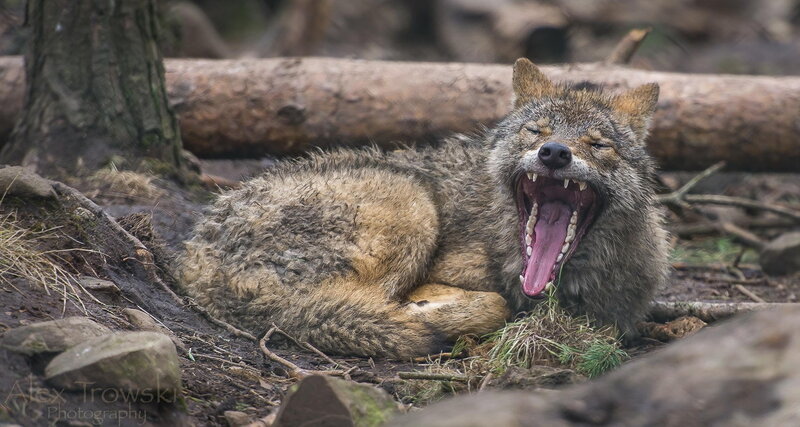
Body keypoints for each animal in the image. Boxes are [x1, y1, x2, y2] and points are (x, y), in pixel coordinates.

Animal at [178, 59, 669, 358]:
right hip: (412, 202)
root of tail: (196, 255)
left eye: (598, 144)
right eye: (536, 131)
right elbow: (489, 300)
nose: (553, 154)